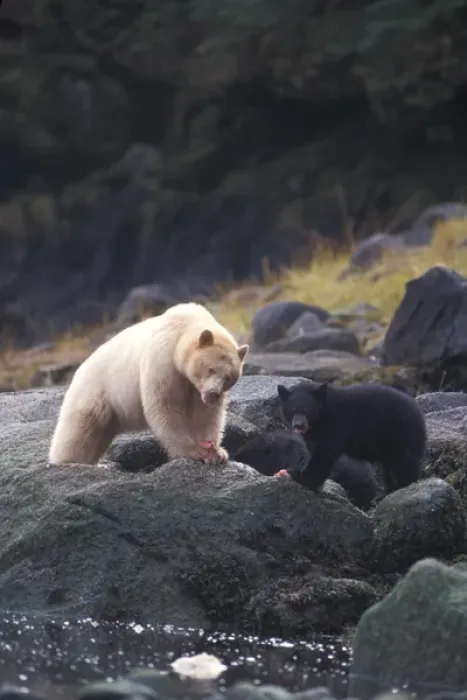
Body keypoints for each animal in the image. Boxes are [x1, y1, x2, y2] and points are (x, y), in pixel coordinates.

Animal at [48, 303, 249, 466]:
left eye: (230, 378)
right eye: (210, 369)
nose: (213, 394)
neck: (184, 326)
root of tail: (81, 368)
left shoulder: (195, 388)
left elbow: (206, 414)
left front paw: (216, 452)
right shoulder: (163, 361)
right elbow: (164, 405)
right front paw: (195, 452)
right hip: (95, 391)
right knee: (80, 429)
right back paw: (66, 460)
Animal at [276, 380, 427, 494]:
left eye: (307, 411)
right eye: (292, 410)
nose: (298, 425)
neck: (321, 417)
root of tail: (419, 413)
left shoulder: (336, 423)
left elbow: (325, 453)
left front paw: (301, 477)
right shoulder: (314, 433)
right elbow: (313, 450)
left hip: (403, 435)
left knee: (405, 464)